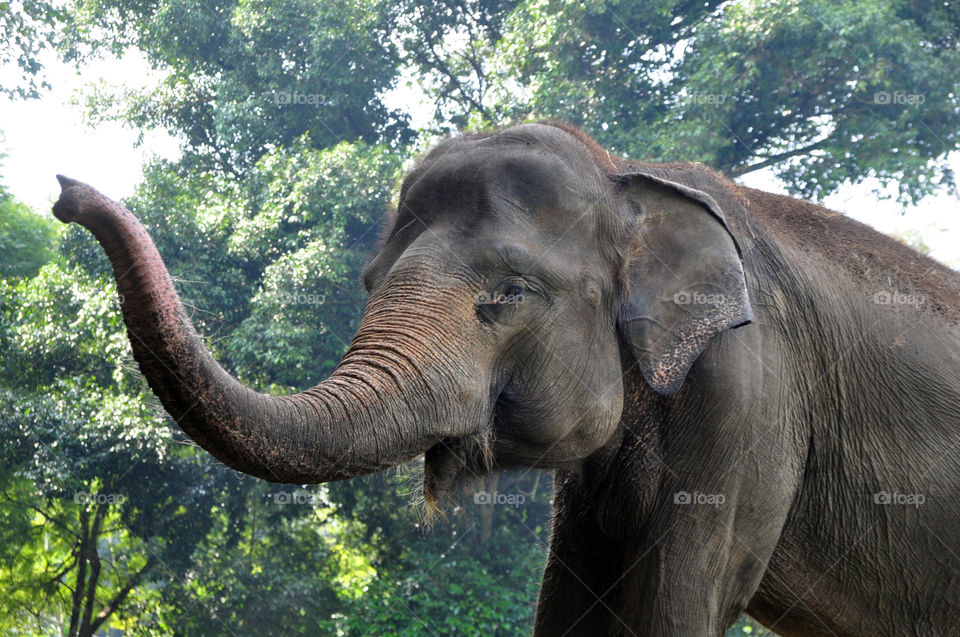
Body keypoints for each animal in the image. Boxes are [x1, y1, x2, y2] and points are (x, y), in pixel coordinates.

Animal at [52, 121, 960, 636]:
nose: (63, 192)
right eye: (370, 282)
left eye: (510, 293)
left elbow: (675, 605)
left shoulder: (750, 395)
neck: (629, 174)